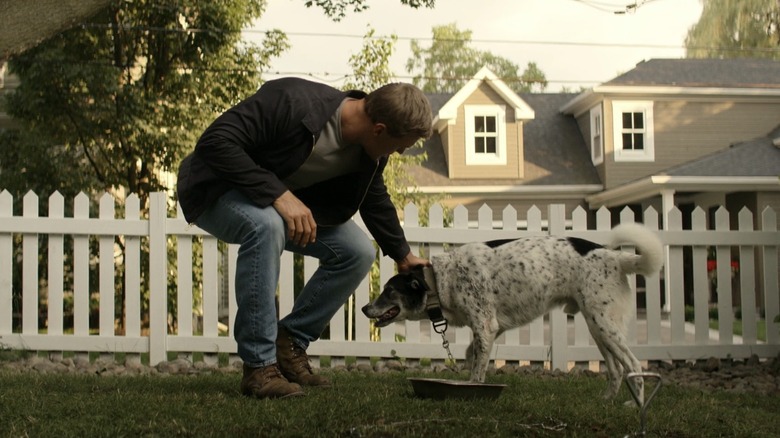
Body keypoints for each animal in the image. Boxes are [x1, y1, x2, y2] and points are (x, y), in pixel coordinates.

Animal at [362, 224, 660, 402]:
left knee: (633, 365)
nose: (365, 308)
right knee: (616, 369)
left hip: (603, 324)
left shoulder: (485, 326)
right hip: (597, 326)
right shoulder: (491, 329)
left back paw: (634, 406)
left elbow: (477, 372)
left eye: (388, 291)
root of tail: (615, 257)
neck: (439, 280)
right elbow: (473, 356)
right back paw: (606, 401)